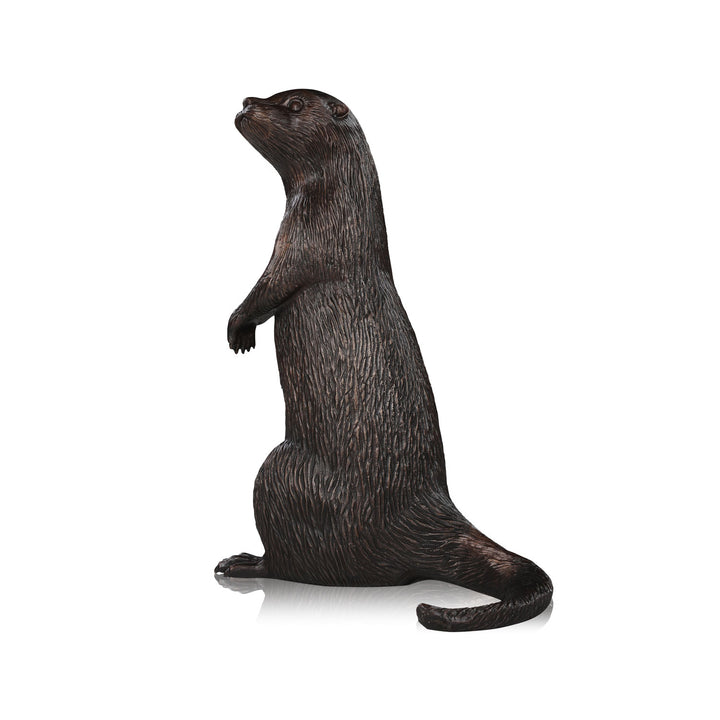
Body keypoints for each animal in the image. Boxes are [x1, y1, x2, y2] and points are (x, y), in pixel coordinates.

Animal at [215, 89, 552, 631]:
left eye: (293, 104)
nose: (247, 100)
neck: (342, 216)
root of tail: (422, 517)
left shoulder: (303, 242)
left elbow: (268, 286)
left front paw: (238, 328)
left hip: (279, 474)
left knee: (295, 564)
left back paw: (243, 562)